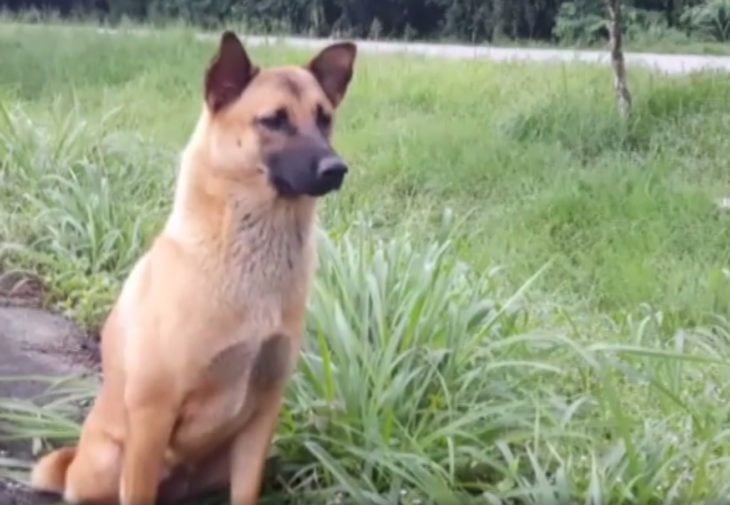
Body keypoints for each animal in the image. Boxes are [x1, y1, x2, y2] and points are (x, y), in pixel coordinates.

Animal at [31, 31, 356, 504]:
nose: (336, 169)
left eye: (324, 119)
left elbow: (246, 492)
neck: (249, 257)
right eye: (274, 121)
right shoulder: (152, 415)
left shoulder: (264, 415)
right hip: (111, 461)